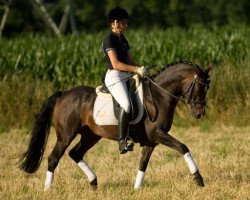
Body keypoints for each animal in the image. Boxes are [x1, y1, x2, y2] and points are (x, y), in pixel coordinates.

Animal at [19, 60, 211, 191]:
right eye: (200, 87)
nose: (200, 114)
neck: (159, 95)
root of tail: (64, 94)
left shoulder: (151, 141)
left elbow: (143, 163)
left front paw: (136, 189)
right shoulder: (158, 134)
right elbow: (183, 147)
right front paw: (198, 179)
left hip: (91, 135)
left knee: (76, 153)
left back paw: (94, 183)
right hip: (65, 136)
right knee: (53, 158)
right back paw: (48, 189)